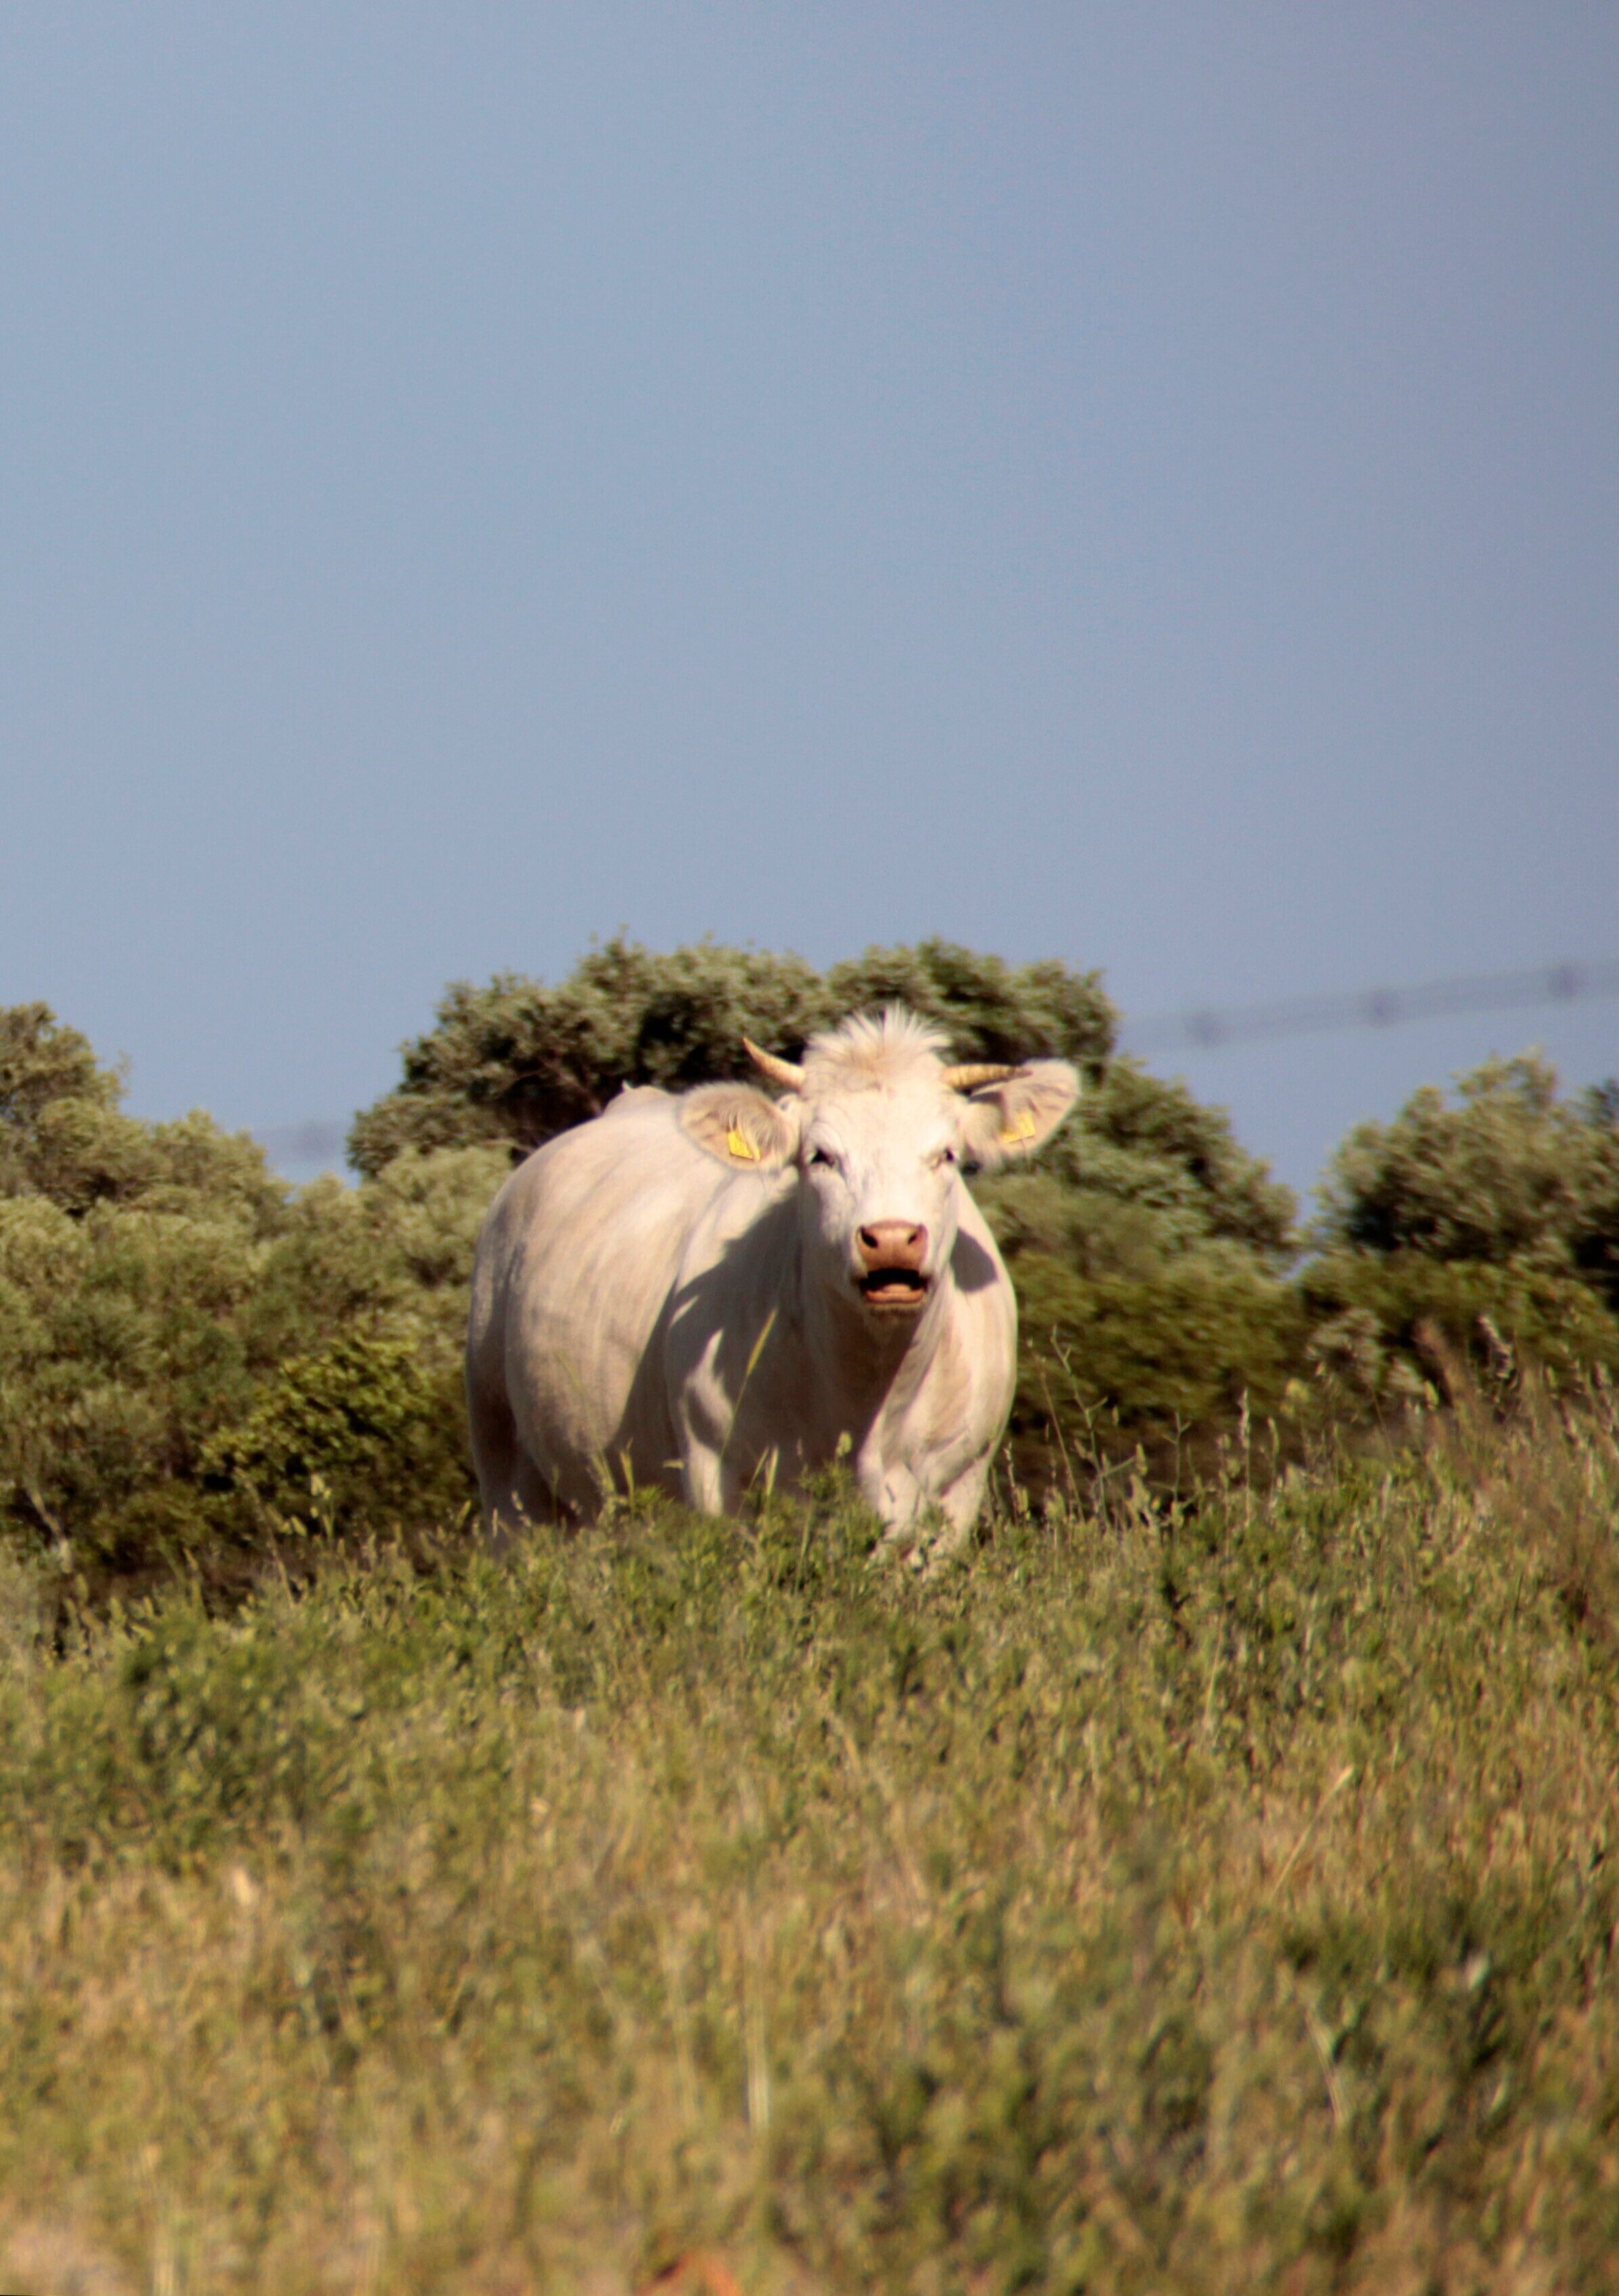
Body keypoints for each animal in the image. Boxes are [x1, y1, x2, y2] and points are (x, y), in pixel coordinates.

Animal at [464, 1007, 1078, 1558]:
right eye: (820, 1156)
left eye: (946, 1155)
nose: (892, 1238)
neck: (865, 1403)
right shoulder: (718, 1473)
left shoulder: (958, 1485)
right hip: (503, 1456)